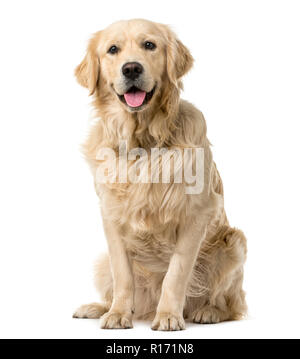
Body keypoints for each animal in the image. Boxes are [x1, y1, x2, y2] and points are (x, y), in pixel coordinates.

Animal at [72, 18, 246, 330]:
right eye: (112, 49)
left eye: (149, 45)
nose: (131, 68)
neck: (142, 141)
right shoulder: (111, 217)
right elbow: (123, 275)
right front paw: (117, 314)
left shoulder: (196, 214)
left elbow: (175, 274)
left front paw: (167, 316)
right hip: (102, 262)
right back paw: (97, 307)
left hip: (234, 244)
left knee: (231, 302)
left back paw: (209, 311)